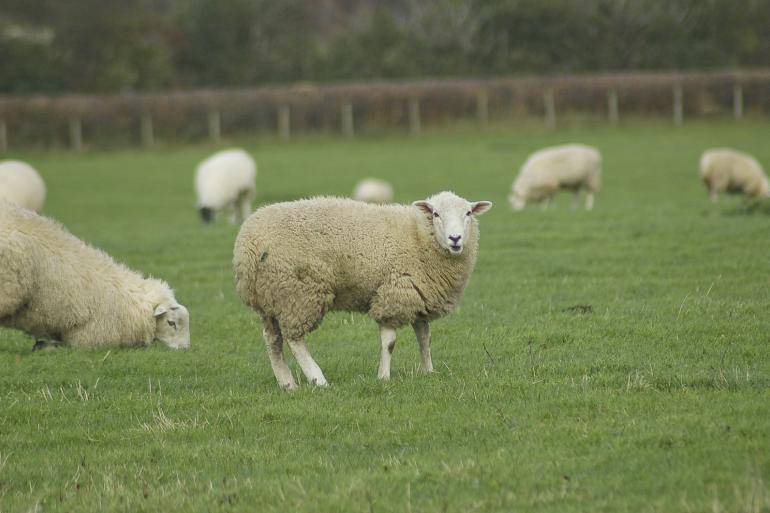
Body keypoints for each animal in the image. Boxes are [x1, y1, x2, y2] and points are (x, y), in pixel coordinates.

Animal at [231, 191, 492, 388]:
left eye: (468, 213)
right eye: (436, 214)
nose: (455, 239)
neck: (418, 236)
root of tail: (246, 243)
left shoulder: (418, 295)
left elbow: (424, 337)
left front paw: (428, 371)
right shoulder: (392, 294)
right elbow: (389, 342)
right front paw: (383, 377)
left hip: (270, 297)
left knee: (272, 339)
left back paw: (287, 384)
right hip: (297, 293)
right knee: (294, 340)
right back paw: (318, 379)